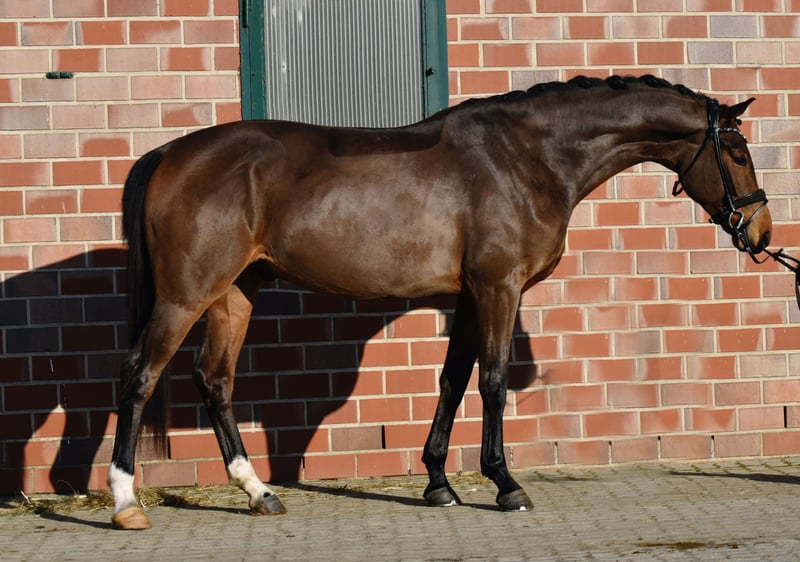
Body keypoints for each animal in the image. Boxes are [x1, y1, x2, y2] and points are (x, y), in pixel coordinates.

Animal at [107, 75, 772, 529]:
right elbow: (494, 381)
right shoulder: (498, 288)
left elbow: (453, 381)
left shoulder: (471, 297)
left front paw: (437, 485)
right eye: (738, 153)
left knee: (214, 379)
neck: (526, 158)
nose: (762, 234)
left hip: (234, 294)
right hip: (185, 296)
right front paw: (505, 484)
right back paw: (125, 502)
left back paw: (258, 492)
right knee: (140, 375)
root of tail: (168, 154)